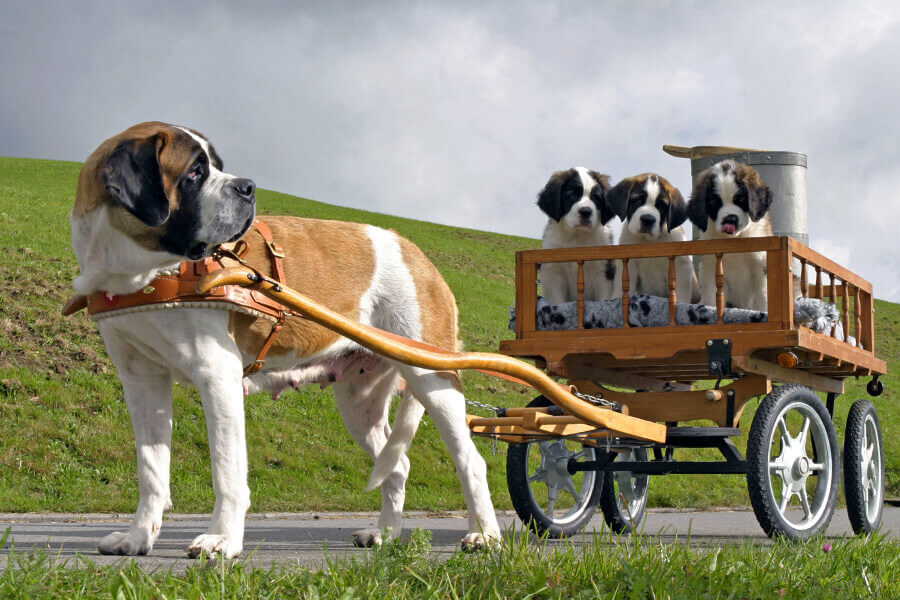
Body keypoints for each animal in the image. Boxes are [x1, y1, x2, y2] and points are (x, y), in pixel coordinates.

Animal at [69, 122, 500, 556]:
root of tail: (418, 254)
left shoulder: (217, 375)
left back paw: (485, 535)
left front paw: (222, 539)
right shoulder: (142, 383)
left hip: (433, 379)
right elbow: (151, 468)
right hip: (358, 401)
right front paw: (137, 537)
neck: (141, 274)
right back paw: (386, 534)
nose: (247, 187)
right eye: (194, 172)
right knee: (397, 464)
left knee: (471, 462)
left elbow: (226, 468)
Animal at [536, 166, 620, 304]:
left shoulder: (603, 274)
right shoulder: (554, 275)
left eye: (596, 198)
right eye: (571, 195)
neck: (577, 237)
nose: (586, 212)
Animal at [608, 173, 700, 304]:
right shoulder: (628, 264)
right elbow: (623, 288)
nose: (647, 219)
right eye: (637, 200)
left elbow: (680, 290)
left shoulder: (681, 265)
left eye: (661, 206)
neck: (649, 241)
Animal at [688, 159, 772, 312]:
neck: (734, 239)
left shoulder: (760, 266)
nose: (730, 219)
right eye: (715, 203)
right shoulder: (711, 269)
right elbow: (712, 299)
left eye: (740, 201)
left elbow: (763, 297)